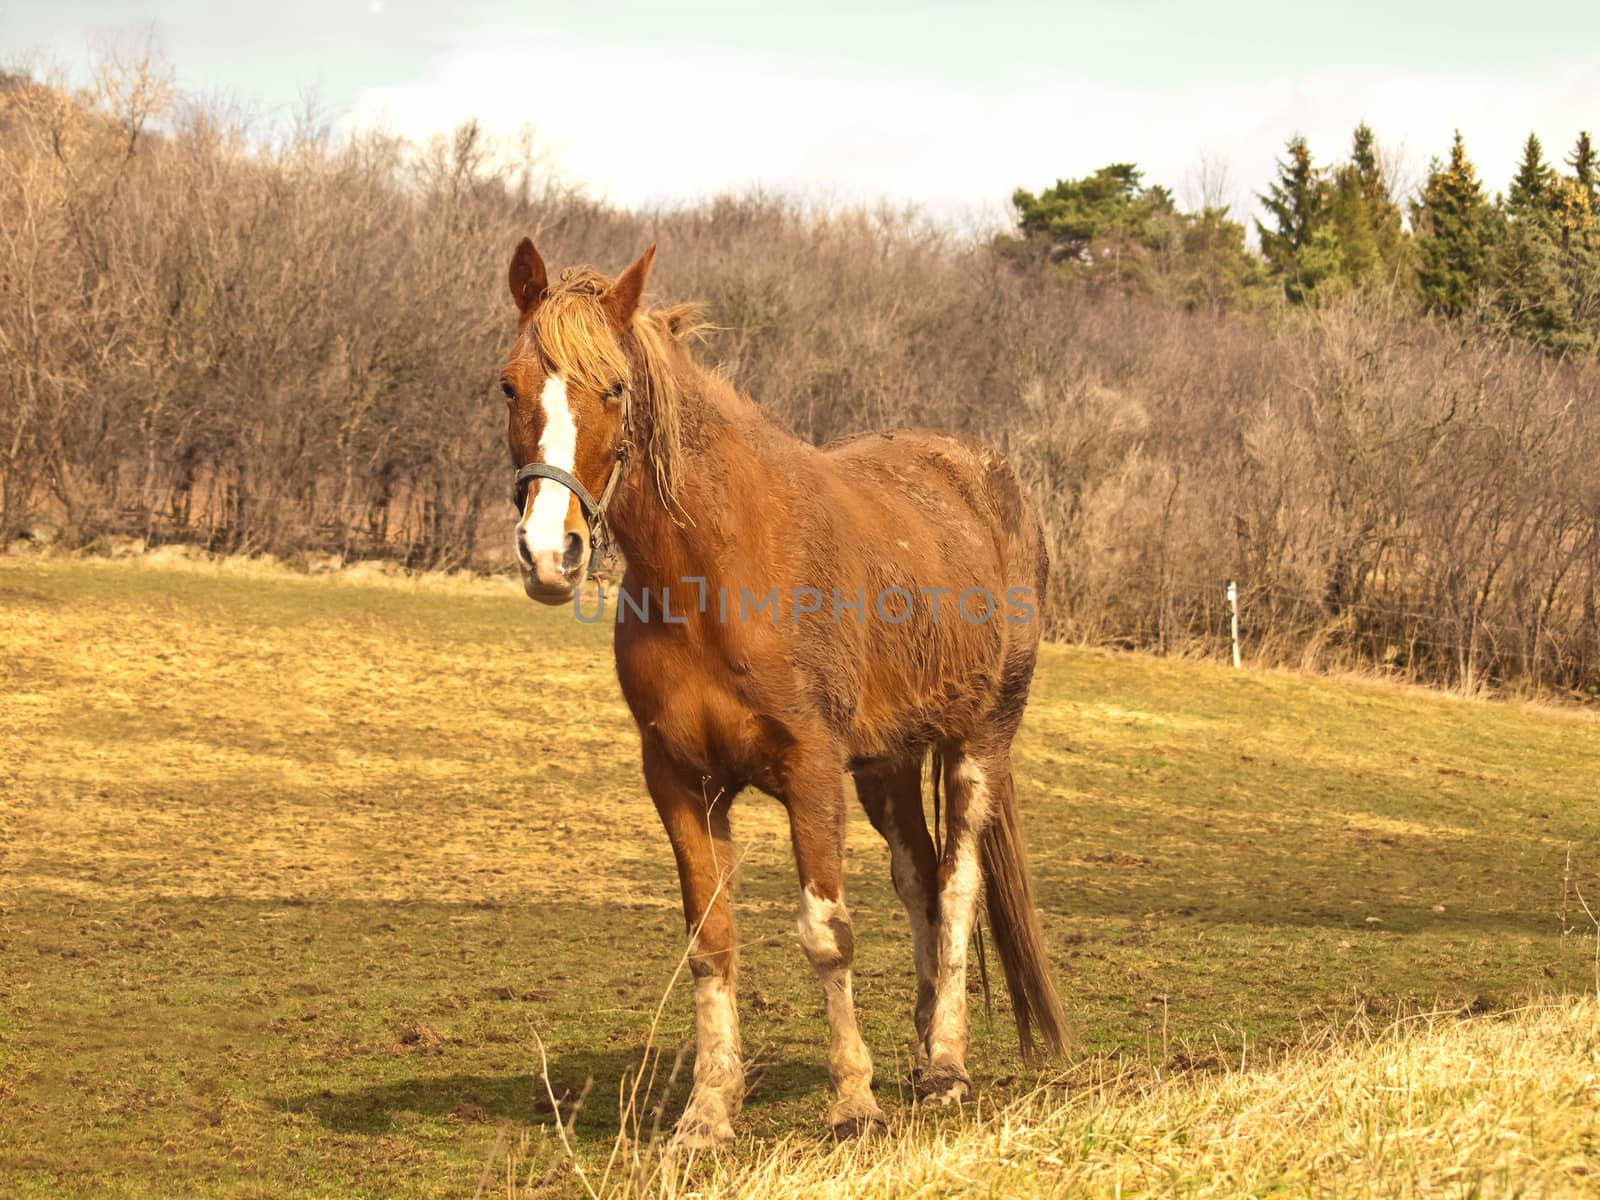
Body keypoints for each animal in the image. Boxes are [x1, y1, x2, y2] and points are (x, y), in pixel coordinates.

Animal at [496, 240, 1075, 1152]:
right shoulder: (679, 780)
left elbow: (826, 934)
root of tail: (989, 479)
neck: (717, 572)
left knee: (955, 886)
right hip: (885, 766)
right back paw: (920, 1055)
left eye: (615, 388)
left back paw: (947, 1068)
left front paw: (854, 1105)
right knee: (918, 879)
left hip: (978, 742)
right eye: (510, 386)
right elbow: (711, 940)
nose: (551, 553)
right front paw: (707, 1112)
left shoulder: (809, 771)